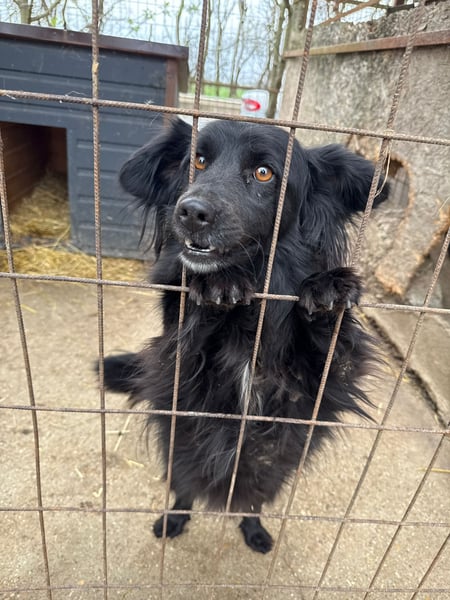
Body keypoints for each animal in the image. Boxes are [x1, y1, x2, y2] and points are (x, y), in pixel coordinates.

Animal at [102, 117, 387, 554]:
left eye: (264, 172)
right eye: (199, 161)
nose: (191, 211)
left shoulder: (314, 388)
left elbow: (335, 355)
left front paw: (327, 289)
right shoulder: (179, 364)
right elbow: (188, 330)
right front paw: (218, 284)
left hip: (271, 472)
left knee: (252, 502)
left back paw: (254, 530)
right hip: (179, 451)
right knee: (184, 490)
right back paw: (174, 518)